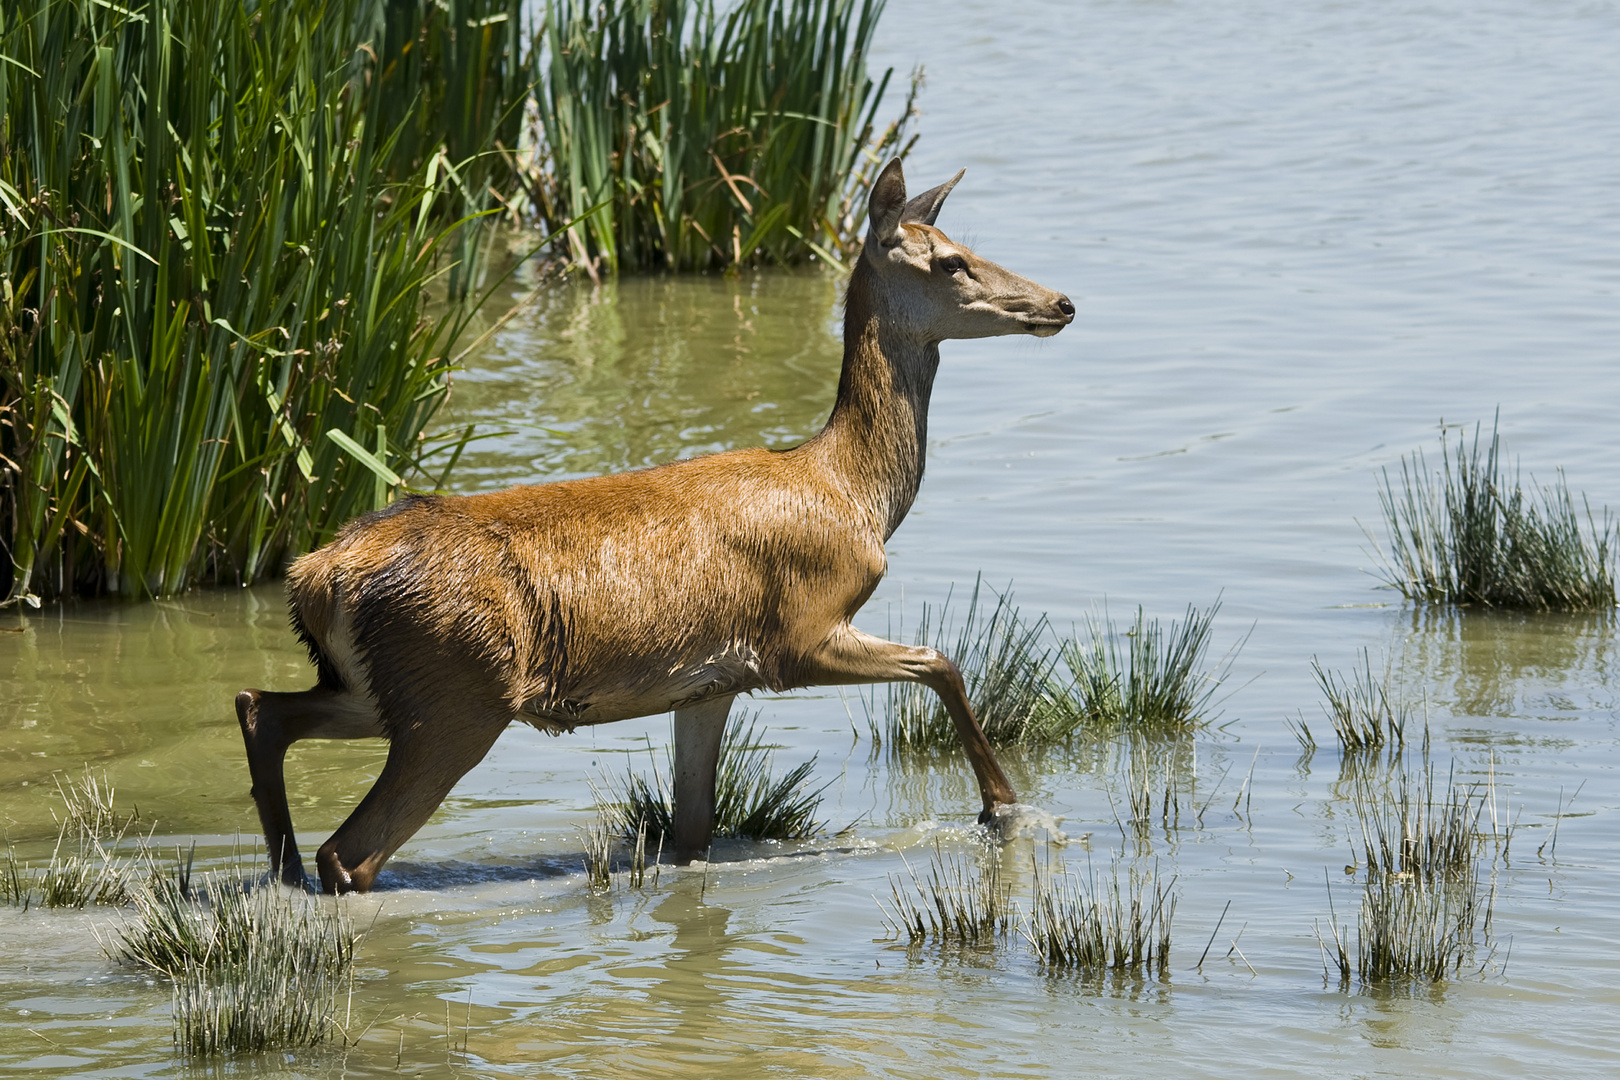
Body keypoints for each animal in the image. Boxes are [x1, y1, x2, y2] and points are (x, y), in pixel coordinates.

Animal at [236, 158, 1075, 893]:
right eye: (952, 262)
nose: (1062, 302)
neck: (851, 492)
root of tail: (319, 574)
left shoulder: (710, 683)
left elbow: (691, 832)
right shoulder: (796, 636)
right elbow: (941, 661)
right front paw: (1007, 811)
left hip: (373, 685)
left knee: (261, 710)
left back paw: (277, 872)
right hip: (454, 693)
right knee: (351, 852)